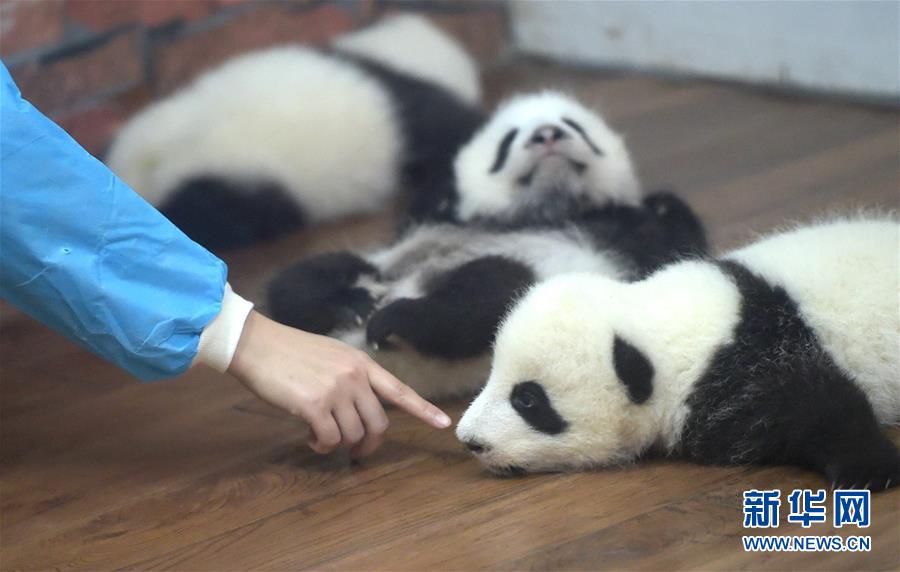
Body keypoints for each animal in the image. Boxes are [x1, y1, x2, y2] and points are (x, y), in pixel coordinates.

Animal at [267, 92, 707, 400]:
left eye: (573, 125)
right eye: (508, 140)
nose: (547, 134)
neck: (546, 209)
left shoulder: (622, 237)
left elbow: (673, 248)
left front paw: (665, 202)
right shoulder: (435, 219)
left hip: (532, 279)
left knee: (480, 298)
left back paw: (397, 317)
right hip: (381, 262)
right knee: (302, 280)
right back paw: (349, 301)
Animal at [456, 217, 900, 490]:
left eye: (528, 400)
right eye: (491, 375)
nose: (469, 440)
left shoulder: (750, 354)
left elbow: (817, 400)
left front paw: (870, 468)